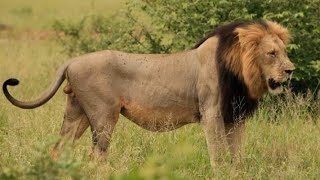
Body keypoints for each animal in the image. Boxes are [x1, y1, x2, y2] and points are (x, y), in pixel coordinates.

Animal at [2, 19, 296, 169]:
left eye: (284, 51)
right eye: (271, 53)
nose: (291, 70)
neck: (241, 72)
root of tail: (72, 61)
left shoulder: (235, 115)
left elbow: (237, 153)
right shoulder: (211, 112)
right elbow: (219, 152)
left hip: (76, 113)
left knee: (58, 149)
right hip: (103, 115)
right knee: (97, 155)